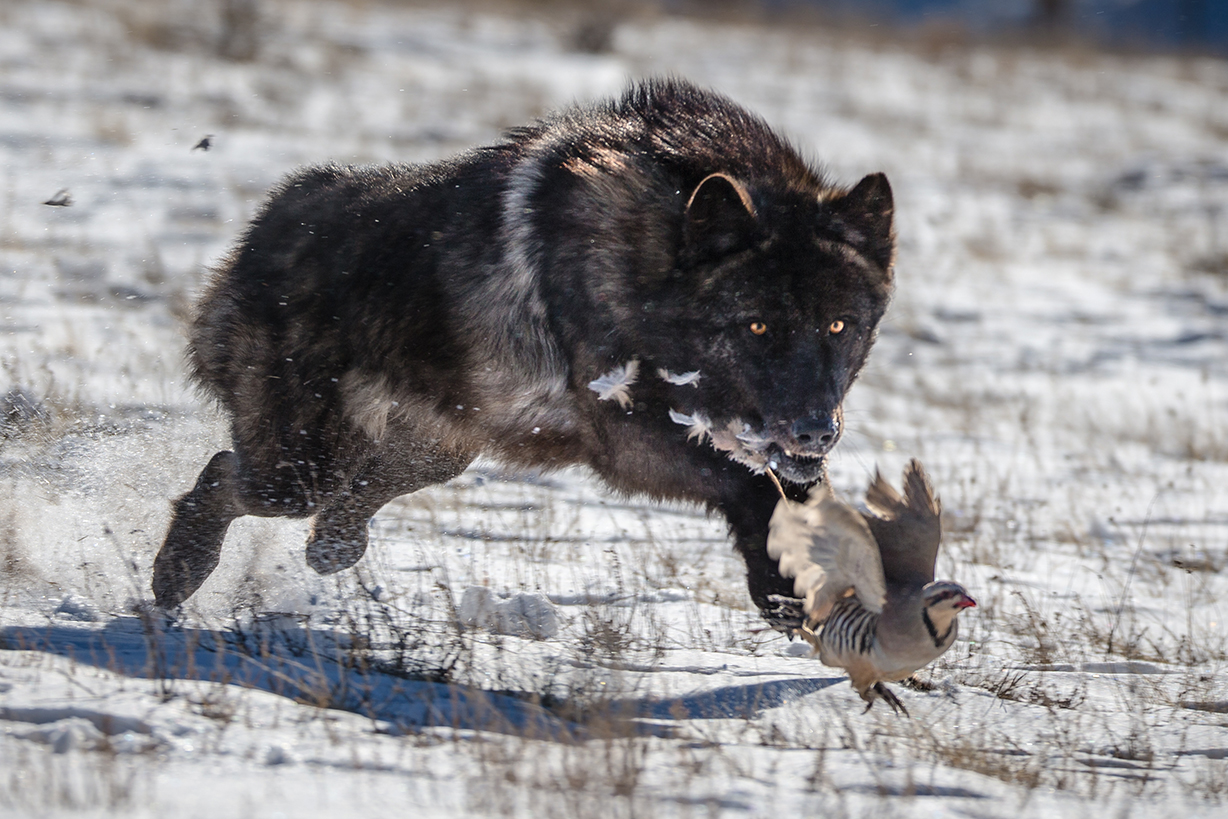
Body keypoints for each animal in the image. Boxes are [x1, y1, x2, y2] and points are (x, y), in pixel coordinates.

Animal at [155, 78, 893, 628]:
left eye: (839, 325)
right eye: (758, 328)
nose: (816, 430)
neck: (650, 260)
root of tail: (270, 218)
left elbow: (798, 491)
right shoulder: (624, 441)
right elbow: (751, 486)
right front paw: (781, 590)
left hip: (435, 452)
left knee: (340, 508)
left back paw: (331, 543)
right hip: (297, 469)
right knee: (224, 474)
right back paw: (178, 572)